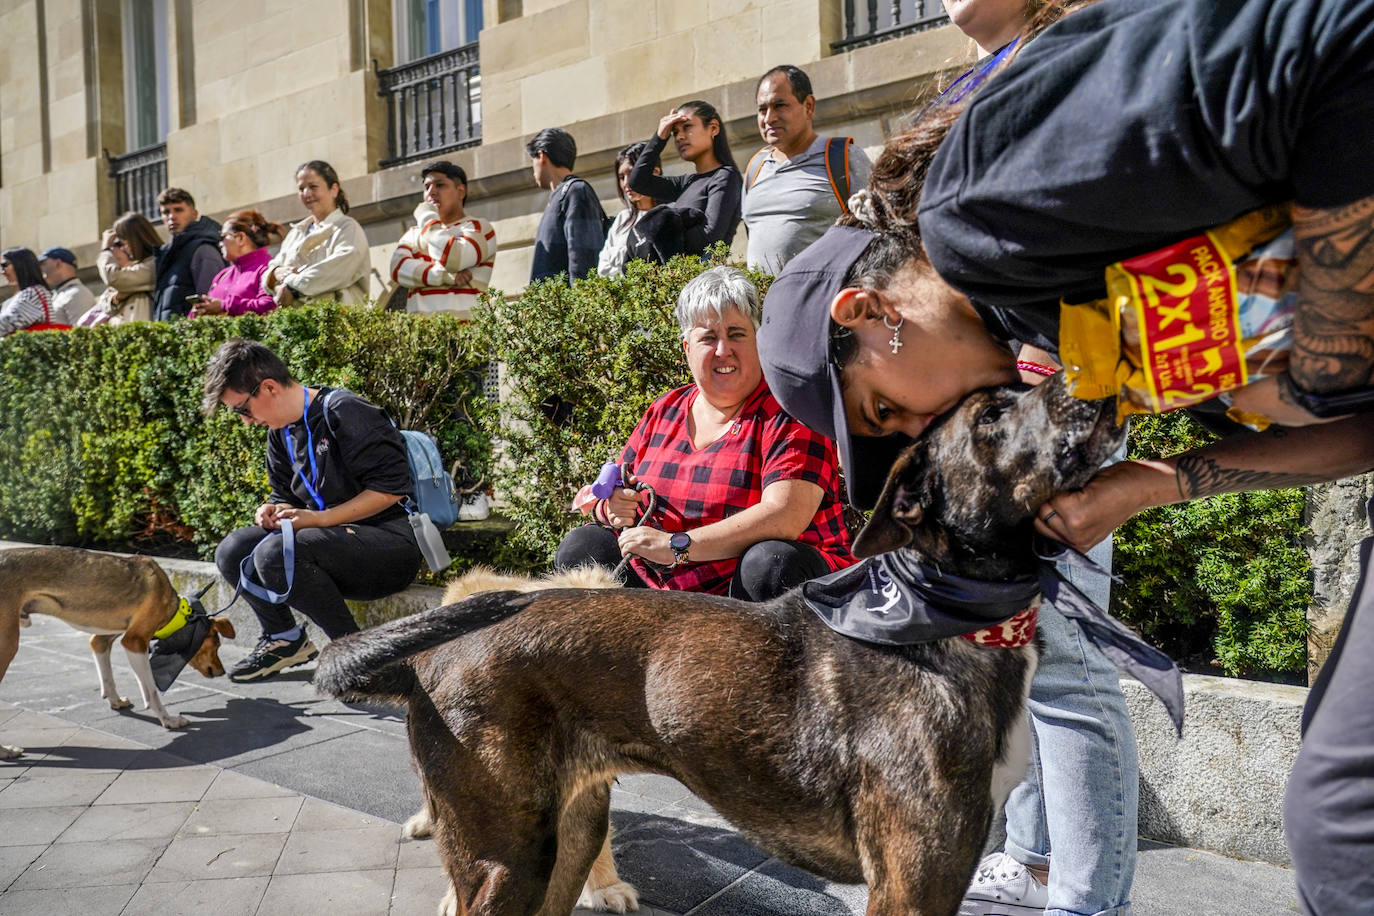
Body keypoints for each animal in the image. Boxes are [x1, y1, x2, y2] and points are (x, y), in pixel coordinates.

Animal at [0, 549, 234, 758]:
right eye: (216, 643)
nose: (222, 672)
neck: (177, 611)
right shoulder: (134, 642)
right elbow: (151, 691)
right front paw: (168, 720)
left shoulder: (103, 638)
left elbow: (107, 675)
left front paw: (115, 701)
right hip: (7, 645)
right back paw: (6, 751)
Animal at [314, 373, 1126, 916]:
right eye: (993, 414)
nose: (1104, 383)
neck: (943, 615)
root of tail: (431, 656)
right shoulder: (912, 882)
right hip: (506, 857)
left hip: (568, 836)